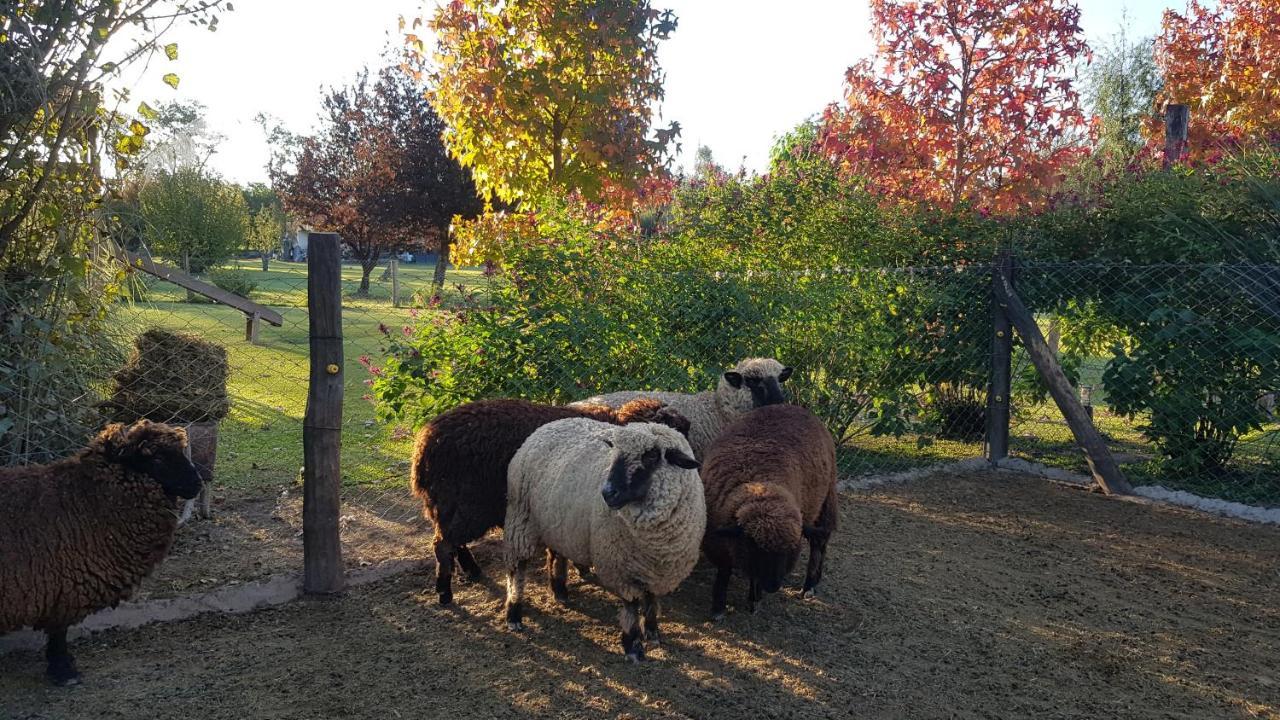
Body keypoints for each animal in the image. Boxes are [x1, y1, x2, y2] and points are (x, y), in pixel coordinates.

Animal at [0, 420, 202, 681]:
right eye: (156, 458)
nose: (197, 483)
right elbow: (59, 632)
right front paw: (64, 670)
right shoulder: (64, 585)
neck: (89, 498)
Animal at [409, 394, 691, 602]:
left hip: (451, 506)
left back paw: (472, 571)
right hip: (468, 505)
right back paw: (444, 592)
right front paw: (564, 586)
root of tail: (425, 445)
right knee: (443, 544)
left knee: (451, 541)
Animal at [501, 417, 706, 661]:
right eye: (614, 453)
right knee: (517, 570)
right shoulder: (620, 568)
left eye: (651, 456)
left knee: (555, 555)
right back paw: (514, 613)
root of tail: (547, 426)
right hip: (520, 521)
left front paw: (653, 631)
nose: (608, 493)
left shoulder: (655, 571)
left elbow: (651, 601)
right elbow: (631, 606)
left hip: (557, 525)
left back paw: (559, 591)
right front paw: (633, 645)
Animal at [701, 404, 839, 617]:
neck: (759, 487)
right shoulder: (719, 543)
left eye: (789, 550)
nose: (773, 586)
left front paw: (754, 598)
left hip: (825, 503)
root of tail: (792, 406)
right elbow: (725, 573)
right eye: (753, 545)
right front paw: (719, 607)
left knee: (819, 544)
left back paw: (809, 586)